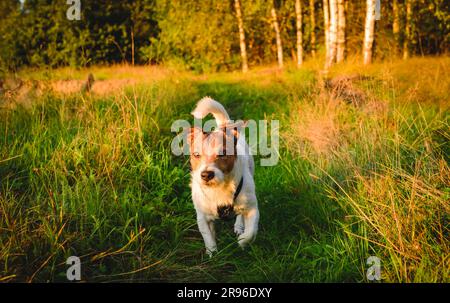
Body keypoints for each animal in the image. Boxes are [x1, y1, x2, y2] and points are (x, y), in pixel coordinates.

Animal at [186, 97, 258, 256]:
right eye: (196, 155)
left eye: (223, 153)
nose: (206, 175)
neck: (219, 188)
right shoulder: (202, 217)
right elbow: (208, 237)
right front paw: (212, 253)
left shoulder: (252, 209)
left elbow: (251, 233)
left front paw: (242, 241)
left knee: (240, 215)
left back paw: (239, 226)